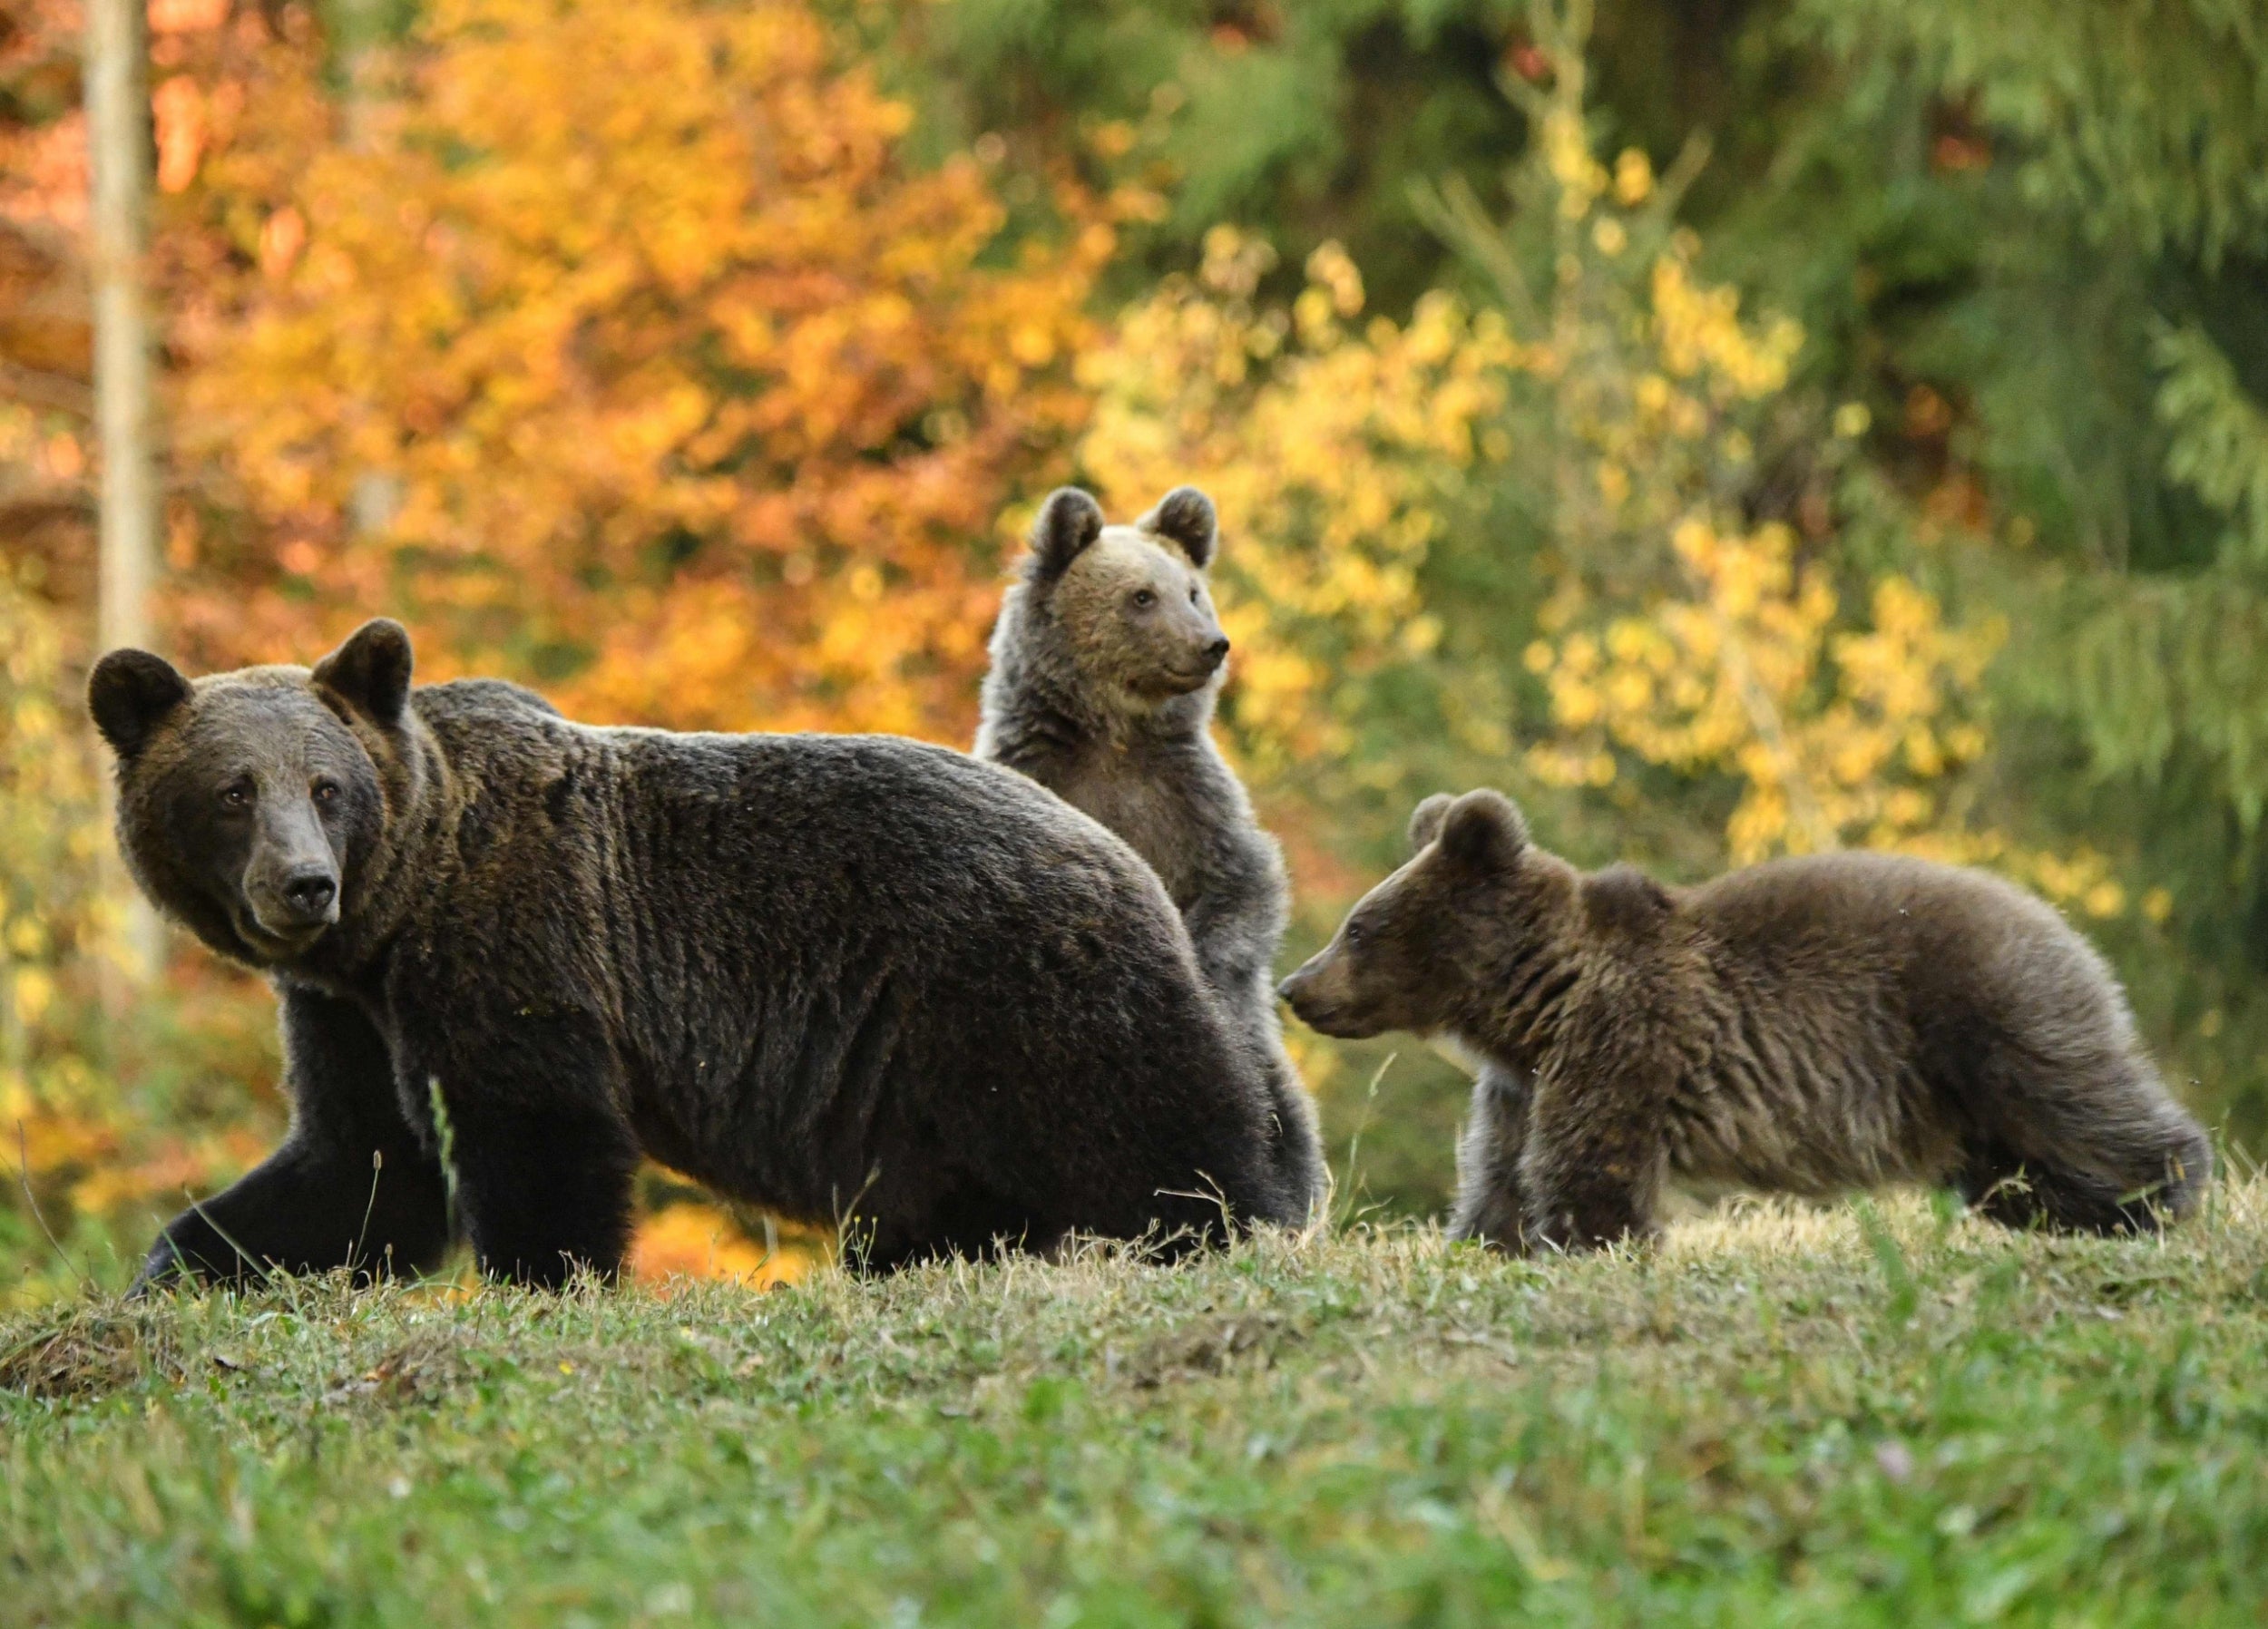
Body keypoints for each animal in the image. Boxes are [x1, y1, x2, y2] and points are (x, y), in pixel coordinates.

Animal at [93, 621, 1315, 1288]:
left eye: (326, 785)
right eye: (233, 789)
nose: (303, 884)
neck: (399, 906)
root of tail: (1125, 854)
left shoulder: (512, 947)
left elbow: (537, 1139)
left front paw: (547, 1280)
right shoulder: (351, 1010)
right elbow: (361, 1163)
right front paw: (182, 1267)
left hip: (1013, 993)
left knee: (1159, 1135)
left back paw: (1239, 1218)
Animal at [1288, 789, 2204, 1252]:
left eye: (1359, 927)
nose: (1297, 987)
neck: (1535, 1002)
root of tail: (2053, 914)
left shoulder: (1627, 1036)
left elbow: (1589, 1166)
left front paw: (1586, 1240)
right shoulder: (1518, 1084)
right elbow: (1500, 1174)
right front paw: (1485, 1240)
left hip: (1987, 1013)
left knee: (2080, 1102)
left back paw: (2162, 1192)